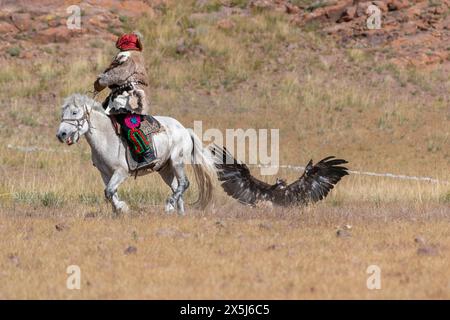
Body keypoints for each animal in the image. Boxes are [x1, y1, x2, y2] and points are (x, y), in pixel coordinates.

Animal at [56, 95, 216, 215]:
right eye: (62, 114)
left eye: (74, 112)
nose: (61, 134)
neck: (107, 136)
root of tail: (184, 129)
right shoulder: (105, 174)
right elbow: (110, 192)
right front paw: (117, 210)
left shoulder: (121, 172)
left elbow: (109, 191)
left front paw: (122, 208)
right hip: (165, 169)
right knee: (176, 186)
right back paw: (179, 214)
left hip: (177, 162)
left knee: (184, 183)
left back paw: (169, 205)